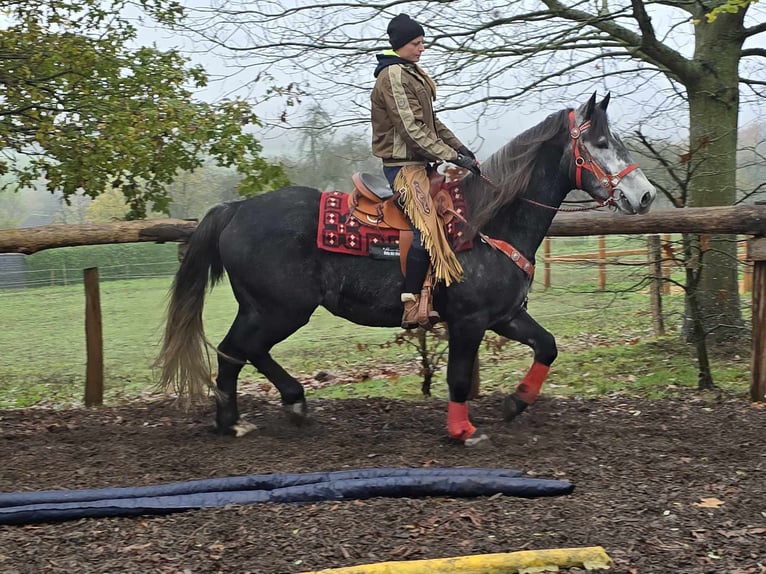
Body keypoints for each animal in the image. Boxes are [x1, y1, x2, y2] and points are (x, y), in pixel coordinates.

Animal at [158, 93, 660, 446]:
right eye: (600, 143)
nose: (645, 195)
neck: (485, 221)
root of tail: (236, 209)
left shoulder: (505, 316)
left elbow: (547, 346)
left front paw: (517, 401)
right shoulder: (469, 320)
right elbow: (458, 377)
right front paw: (463, 431)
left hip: (265, 309)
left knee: (243, 351)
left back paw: (271, 409)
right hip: (278, 309)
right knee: (235, 351)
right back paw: (241, 419)